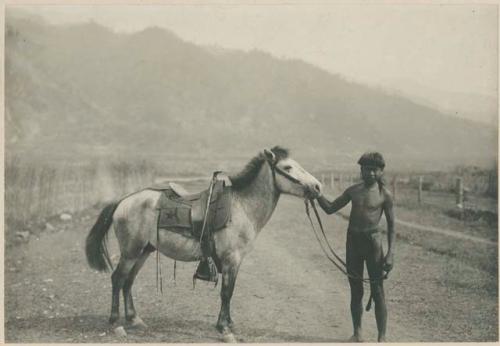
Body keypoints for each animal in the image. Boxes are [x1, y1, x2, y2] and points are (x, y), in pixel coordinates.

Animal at [85, 146, 320, 340]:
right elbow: (226, 292)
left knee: (128, 281)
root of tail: (123, 201)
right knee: (118, 279)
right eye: (287, 167)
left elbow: (230, 291)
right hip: (131, 251)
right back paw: (116, 323)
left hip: (143, 251)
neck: (241, 207)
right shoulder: (231, 259)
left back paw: (135, 319)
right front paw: (224, 329)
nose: (317, 187)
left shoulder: (235, 262)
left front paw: (229, 324)